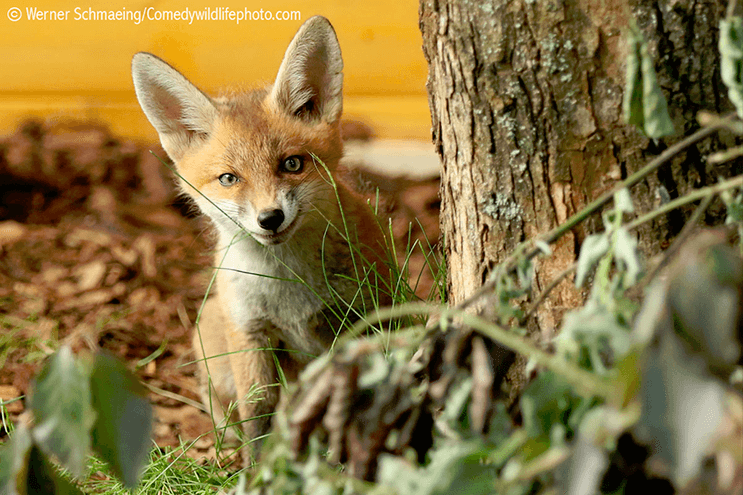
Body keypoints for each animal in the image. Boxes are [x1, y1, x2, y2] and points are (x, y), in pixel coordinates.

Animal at [131, 16, 392, 462]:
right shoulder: (249, 330)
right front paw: (254, 470)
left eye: (292, 164)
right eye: (229, 179)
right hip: (212, 341)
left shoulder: (357, 317)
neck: (288, 284)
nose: (270, 218)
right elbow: (259, 411)